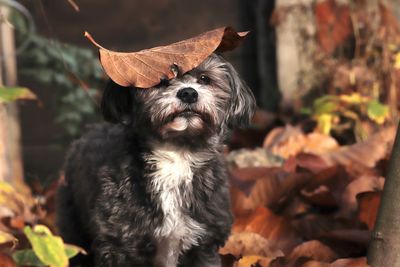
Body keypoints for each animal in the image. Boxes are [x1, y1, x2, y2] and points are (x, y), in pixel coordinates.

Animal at [55, 53, 255, 266]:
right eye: (161, 81)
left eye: (204, 79)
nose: (188, 93)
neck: (176, 155)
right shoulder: (119, 244)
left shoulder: (204, 244)